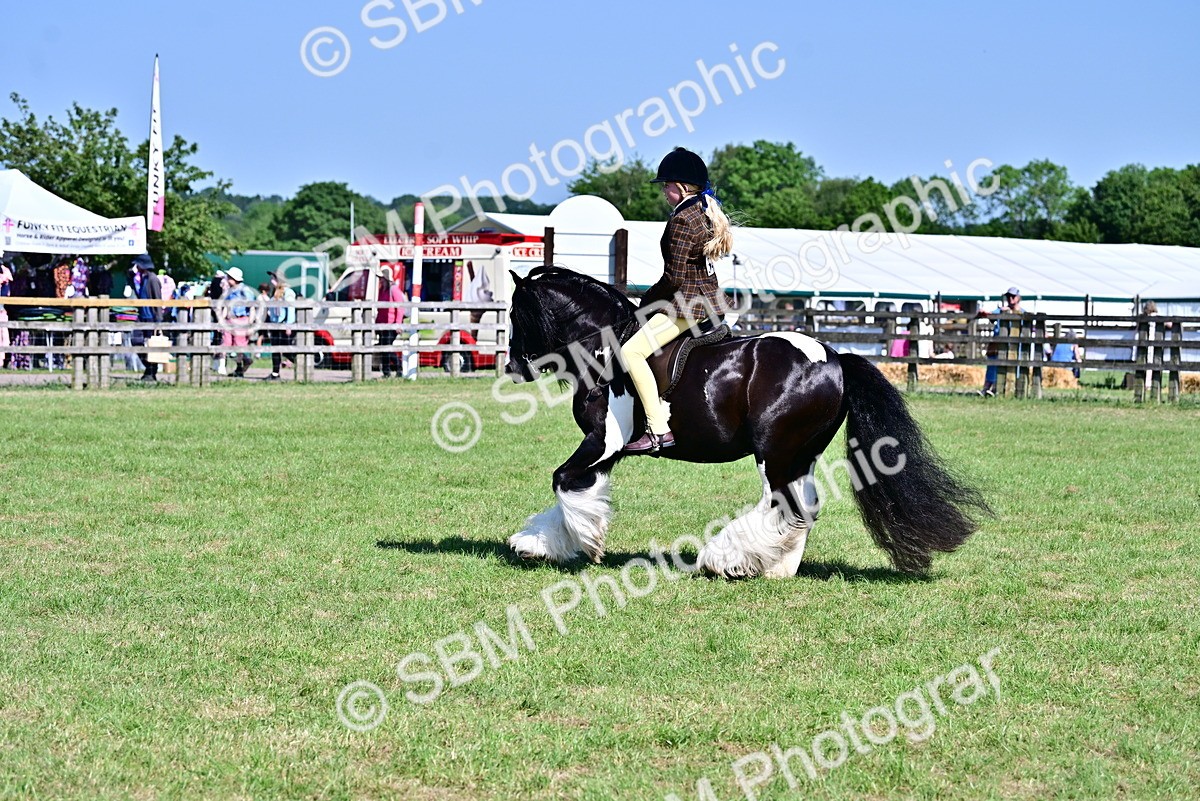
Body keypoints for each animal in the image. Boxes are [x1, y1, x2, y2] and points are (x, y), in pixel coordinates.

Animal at [504, 266, 990, 579]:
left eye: (514, 314)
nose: (513, 368)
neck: (602, 345)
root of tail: (835, 358)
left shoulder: (602, 440)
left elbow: (562, 478)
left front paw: (580, 541)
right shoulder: (607, 451)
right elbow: (578, 486)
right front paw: (542, 543)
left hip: (774, 450)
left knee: (783, 504)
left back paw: (727, 560)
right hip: (800, 455)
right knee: (803, 507)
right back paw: (778, 568)